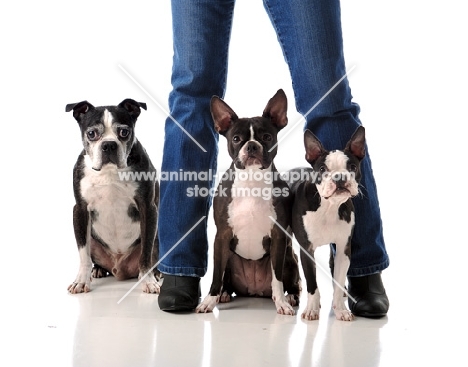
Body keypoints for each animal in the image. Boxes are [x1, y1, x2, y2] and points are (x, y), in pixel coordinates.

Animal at [65, 99, 161, 294]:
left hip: (157, 238)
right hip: (93, 239)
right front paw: (81, 280)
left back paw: (156, 274)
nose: (109, 144)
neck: (109, 171)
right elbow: (83, 253)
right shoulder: (80, 209)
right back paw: (98, 270)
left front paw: (148, 281)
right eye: (92, 133)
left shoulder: (148, 208)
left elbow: (146, 253)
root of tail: (119, 268)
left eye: (124, 132)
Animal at [196, 90, 302, 316]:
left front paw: (282, 303)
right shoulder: (222, 235)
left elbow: (277, 278)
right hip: (229, 257)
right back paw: (224, 294)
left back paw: (291, 297)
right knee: (225, 278)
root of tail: (255, 292)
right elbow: (216, 275)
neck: (252, 180)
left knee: (293, 283)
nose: (252, 145)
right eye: (236, 139)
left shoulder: (278, 236)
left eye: (267, 137)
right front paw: (209, 300)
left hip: (290, 258)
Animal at [288, 127, 366, 322]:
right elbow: (312, 283)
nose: (339, 177)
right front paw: (312, 309)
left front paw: (341, 309)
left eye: (352, 167)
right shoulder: (307, 250)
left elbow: (338, 280)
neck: (329, 206)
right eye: (323, 169)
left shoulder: (344, 249)